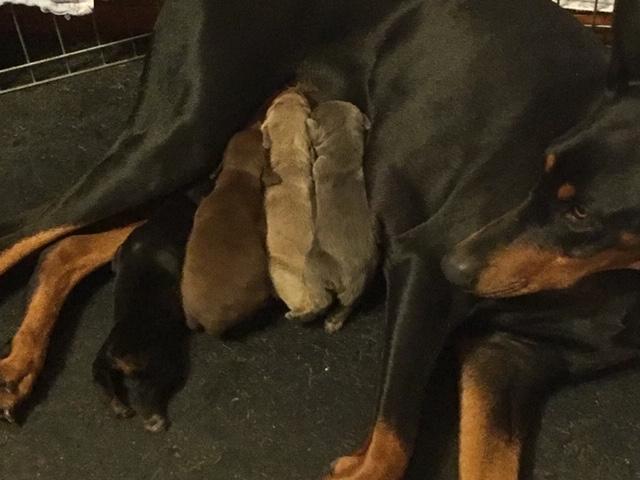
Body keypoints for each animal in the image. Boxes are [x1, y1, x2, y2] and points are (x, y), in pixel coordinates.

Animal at [93, 195, 195, 433]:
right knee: (147, 397)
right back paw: (155, 421)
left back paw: (120, 408)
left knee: (104, 385)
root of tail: (119, 353)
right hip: (163, 367)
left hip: (101, 362)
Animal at [304, 101, 377, 333]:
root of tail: (355, 280)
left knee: (323, 301)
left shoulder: (318, 167)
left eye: (317, 110)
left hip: (314, 263)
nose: (314, 106)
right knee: (347, 306)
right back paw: (334, 322)